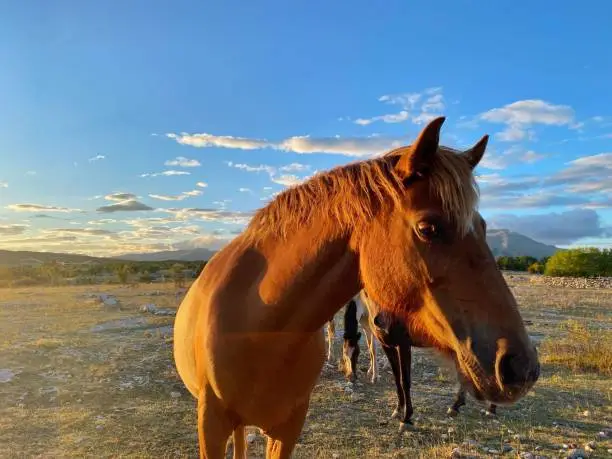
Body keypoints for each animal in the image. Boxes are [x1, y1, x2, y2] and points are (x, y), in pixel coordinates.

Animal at [173, 117, 540, 458]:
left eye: (483, 227)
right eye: (428, 228)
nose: (521, 367)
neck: (259, 327)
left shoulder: (288, 428)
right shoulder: (211, 427)